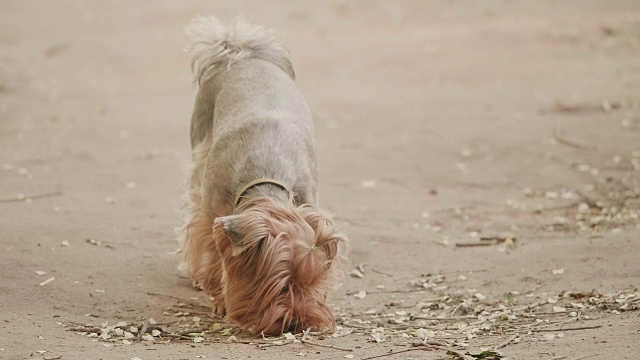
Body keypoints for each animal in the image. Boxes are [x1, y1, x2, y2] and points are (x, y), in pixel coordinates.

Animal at [178, 16, 348, 338]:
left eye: (313, 283)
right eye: (281, 286)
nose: (296, 322)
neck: (266, 178)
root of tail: (241, 52)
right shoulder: (212, 213)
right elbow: (214, 250)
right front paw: (221, 299)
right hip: (199, 147)